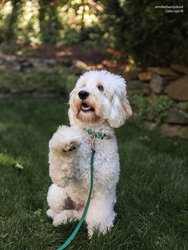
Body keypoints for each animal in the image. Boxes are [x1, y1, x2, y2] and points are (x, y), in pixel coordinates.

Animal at [46, 70, 132, 236]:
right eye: (83, 85)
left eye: (100, 87)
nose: (82, 93)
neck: (93, 136)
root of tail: (80, 210)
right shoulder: (61, 178)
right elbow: (60, 168)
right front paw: (67, 145)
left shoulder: (103, 190)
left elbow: (99, 215)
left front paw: (99, 234)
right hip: (56, 194)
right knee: (54, 211)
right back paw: (59, 220)